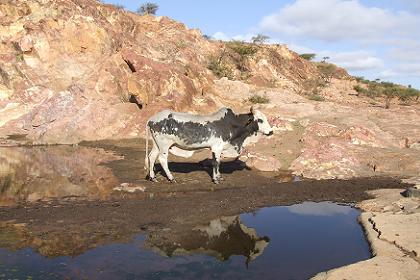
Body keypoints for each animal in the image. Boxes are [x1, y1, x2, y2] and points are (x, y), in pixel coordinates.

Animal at [144, 105, 274, 184]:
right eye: (260, 120)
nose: (271, 131)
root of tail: (151, 119)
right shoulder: (217, 148)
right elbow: (216, 163)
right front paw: (216, 179)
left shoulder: (215, 149)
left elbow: (216, 162)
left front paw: (219, 176)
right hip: (164, 145)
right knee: (162, 159)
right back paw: (171, 178)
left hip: (156, 145)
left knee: (151, 157)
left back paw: (153, 177)